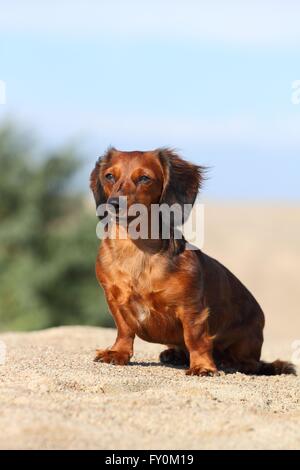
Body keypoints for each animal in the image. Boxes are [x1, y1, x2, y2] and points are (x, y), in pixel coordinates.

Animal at [89, 149, 296, 376]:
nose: (113, 205)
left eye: (144, 178)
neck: (136, 249)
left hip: (247, 341)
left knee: (249, 363)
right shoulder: (114, 299)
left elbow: (195, 338)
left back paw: (228, 362)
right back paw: (175, 354)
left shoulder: (191, 308)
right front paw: (118, 352)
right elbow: (124, 329)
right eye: (109, 176)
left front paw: (202, 366)